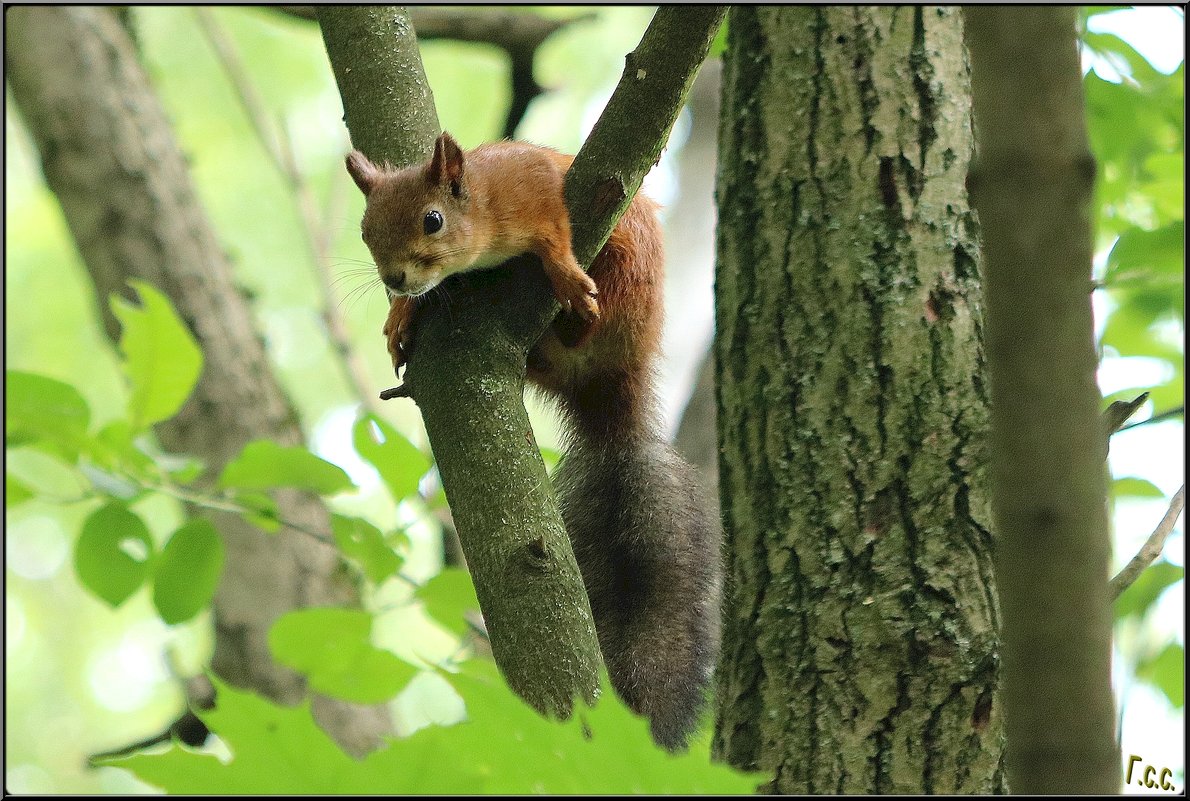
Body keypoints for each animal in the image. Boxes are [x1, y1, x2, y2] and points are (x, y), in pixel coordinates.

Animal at [340, 130, 718, 752]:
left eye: (432, 220)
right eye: (367, 230)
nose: (394, 279)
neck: (484, 208)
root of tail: (612, 384)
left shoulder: (536, 184)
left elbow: (556, 229)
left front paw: (563, 269)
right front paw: (401, 316)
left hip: (630, 269)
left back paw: (578, 316)